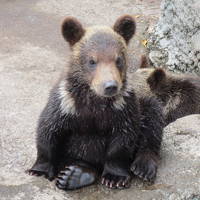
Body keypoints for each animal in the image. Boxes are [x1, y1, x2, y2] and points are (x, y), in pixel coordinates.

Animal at [26, 15, 164, 191]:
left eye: (118, 59)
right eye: (92, 61)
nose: (110, 86)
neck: (94, 101)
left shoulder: (123, 107)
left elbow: (122, 141)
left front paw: (115, 177)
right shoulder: (66, 103)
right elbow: (48, 131)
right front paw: (38, 170)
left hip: (146, 102)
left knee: (152, 122)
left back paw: (143, 167)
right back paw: (73, 175)